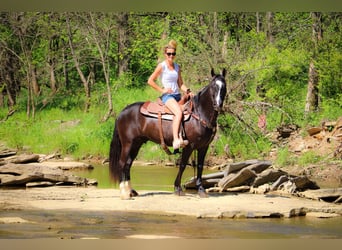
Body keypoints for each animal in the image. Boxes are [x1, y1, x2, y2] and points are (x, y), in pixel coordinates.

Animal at [109, 68, 227, 199]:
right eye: (213, 86)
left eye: (224, 86)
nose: (218, 105)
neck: (199, 114)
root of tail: (122, 112)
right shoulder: (189, 146)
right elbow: (183, 165)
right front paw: (178, 188)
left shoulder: (203, 147)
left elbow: (200, 166)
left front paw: (201, 190)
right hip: (127, 143)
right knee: (122, 163)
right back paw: (124, 193)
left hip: (136, 144)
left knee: (128, 164)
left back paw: (131, 191)